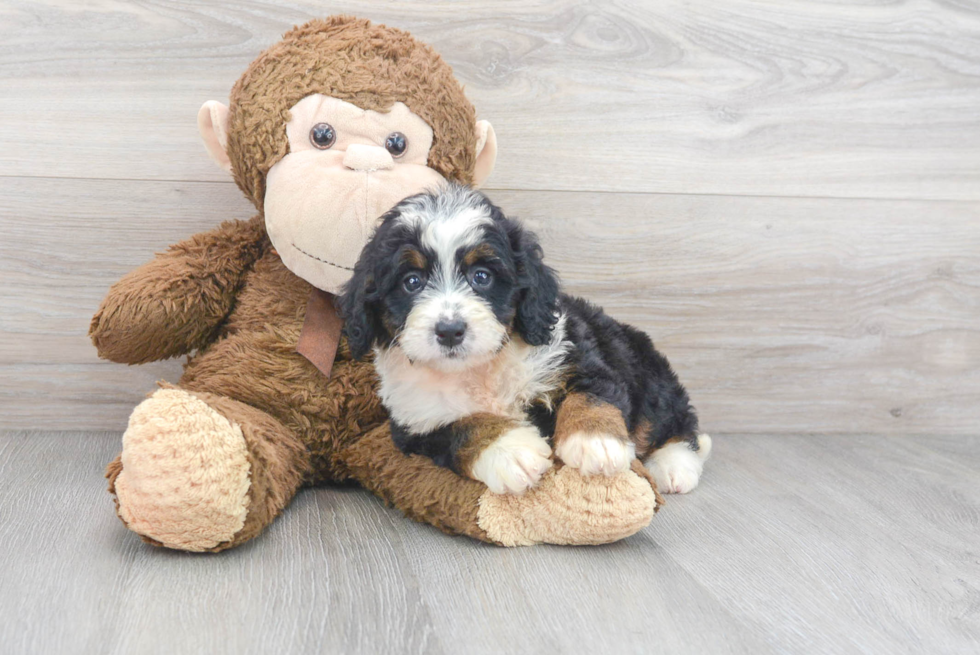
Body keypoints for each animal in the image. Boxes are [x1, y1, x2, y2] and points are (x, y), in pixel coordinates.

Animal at [338, 182, 712, 494]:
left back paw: (673, 466)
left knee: (673, 422)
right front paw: (512, 453)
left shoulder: (575, 354)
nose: (449, 330)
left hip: (644, 371)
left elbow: (591, 395)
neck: (479, 369)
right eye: (411, 282)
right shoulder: (417, 421)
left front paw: (595, 442)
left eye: (481, 276)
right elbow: (465, 427)